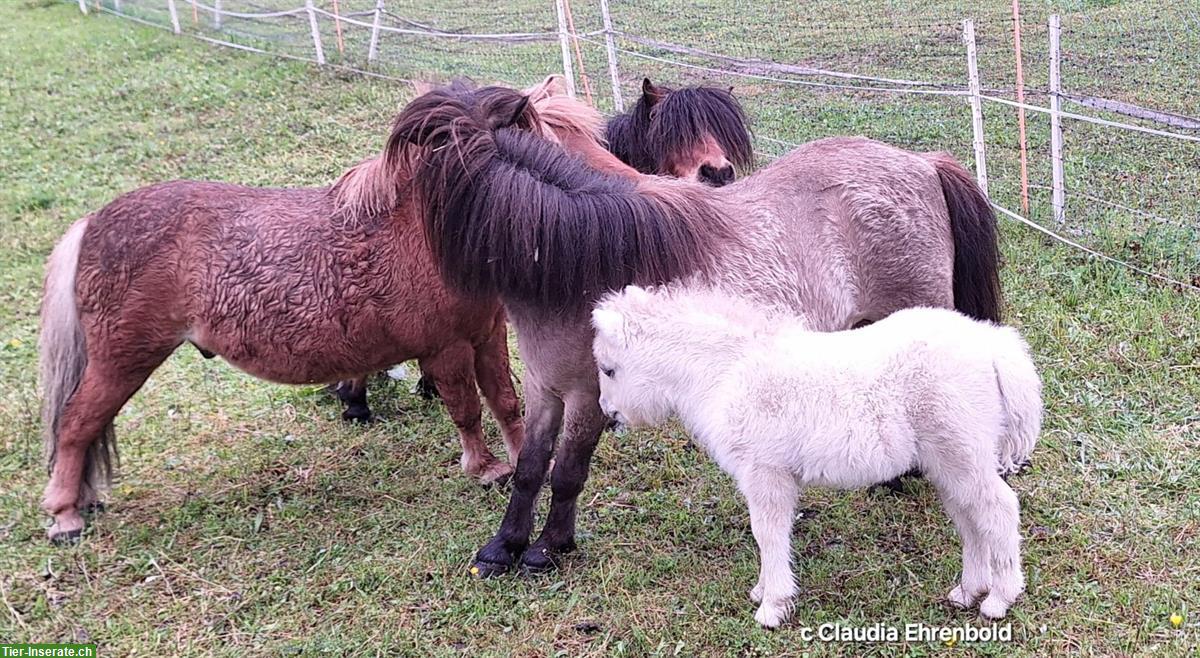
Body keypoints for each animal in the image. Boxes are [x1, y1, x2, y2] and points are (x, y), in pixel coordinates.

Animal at [36, 83, 549, 545]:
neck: (424, 233)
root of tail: (91, 224)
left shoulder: (486, 335)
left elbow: (505, 401)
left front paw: (521, 461)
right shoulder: (446, 348)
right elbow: (466, 409)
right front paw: (486, 469)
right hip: (121, 361)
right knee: (75, 425)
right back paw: (65, 517)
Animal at [590, 285, 1041, 629]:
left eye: (609, 369)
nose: (609, 414)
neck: (728, 372)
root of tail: (992, 345)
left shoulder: (765, 472)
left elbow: (767, 533)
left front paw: (772, 606)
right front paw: (763, 591)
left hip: (962, 454)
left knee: (999, 508)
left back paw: (999, 599)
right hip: (949, 463)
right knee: (970, 518)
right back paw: (968, 591)